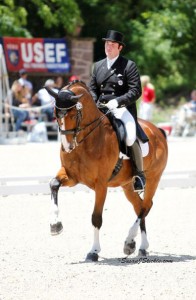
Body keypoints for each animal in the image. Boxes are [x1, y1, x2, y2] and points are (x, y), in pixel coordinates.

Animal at [45, 81, 168, 262]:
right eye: (55, 115)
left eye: (73, 116)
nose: (67, 147)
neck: (87, 140)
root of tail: (158, 130)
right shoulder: (72, 176)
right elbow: (54, 184)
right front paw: (55, 225)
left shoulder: (101, 184)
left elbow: (96, 218)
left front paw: (93, 251)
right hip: (127, 185)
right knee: (139, 207)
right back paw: (140, 247)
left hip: (153, 179)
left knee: (146, 206)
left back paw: (130, 241)